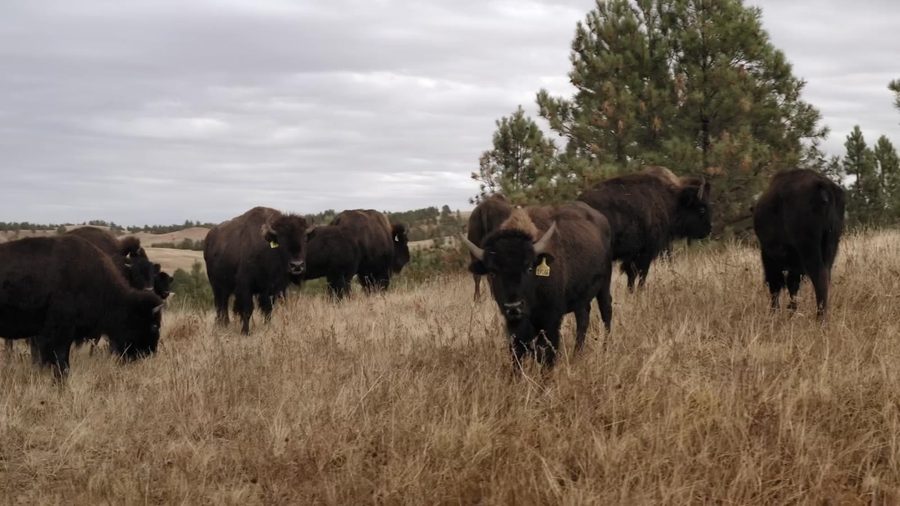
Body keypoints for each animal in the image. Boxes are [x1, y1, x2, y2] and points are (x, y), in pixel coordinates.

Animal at [463, 203, 613, 369]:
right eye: (493, 273)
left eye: (529, 268)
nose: (514, 307)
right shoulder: (513, 325)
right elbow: (517, 352)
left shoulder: (551, 320)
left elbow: (546, 353)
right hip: (581, 298)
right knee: (583, 319)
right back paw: (577, 354)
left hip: (605, 284)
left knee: (606, 312)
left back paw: (605, 349)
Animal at [578, 170, 712, 290]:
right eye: (702, 209)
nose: (708, 230)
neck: (670, 200)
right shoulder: (646, 252)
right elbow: (641, 274)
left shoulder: (633, 256)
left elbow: (632, 275)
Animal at [753, 169, 845, 318]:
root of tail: (823, 186)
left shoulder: (768, 255)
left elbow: (776, 284)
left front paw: (775, 312)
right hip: (831, 246)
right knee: (825, 276)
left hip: (808, 249)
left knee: (818, 276)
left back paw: (819, 317)